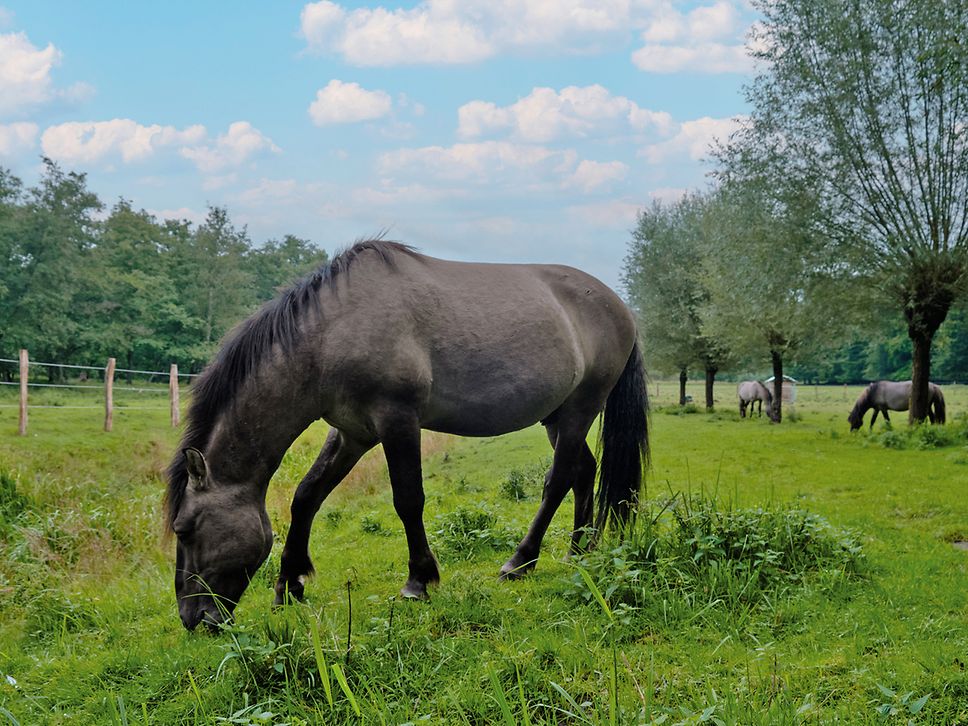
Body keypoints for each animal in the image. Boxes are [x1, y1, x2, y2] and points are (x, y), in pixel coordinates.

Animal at [164, 240, 652, 632]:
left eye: (184, 528)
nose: (193, 618)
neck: (332, 332)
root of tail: (621, 307)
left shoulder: (397, 421)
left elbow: (408, 500)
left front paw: (418, 580)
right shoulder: (352, 432)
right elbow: (306, 496)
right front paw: (290, 583)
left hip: (580, 409)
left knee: (559, 479)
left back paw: (521, 561)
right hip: (557, 416)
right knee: (583, 471)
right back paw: (580, 552)